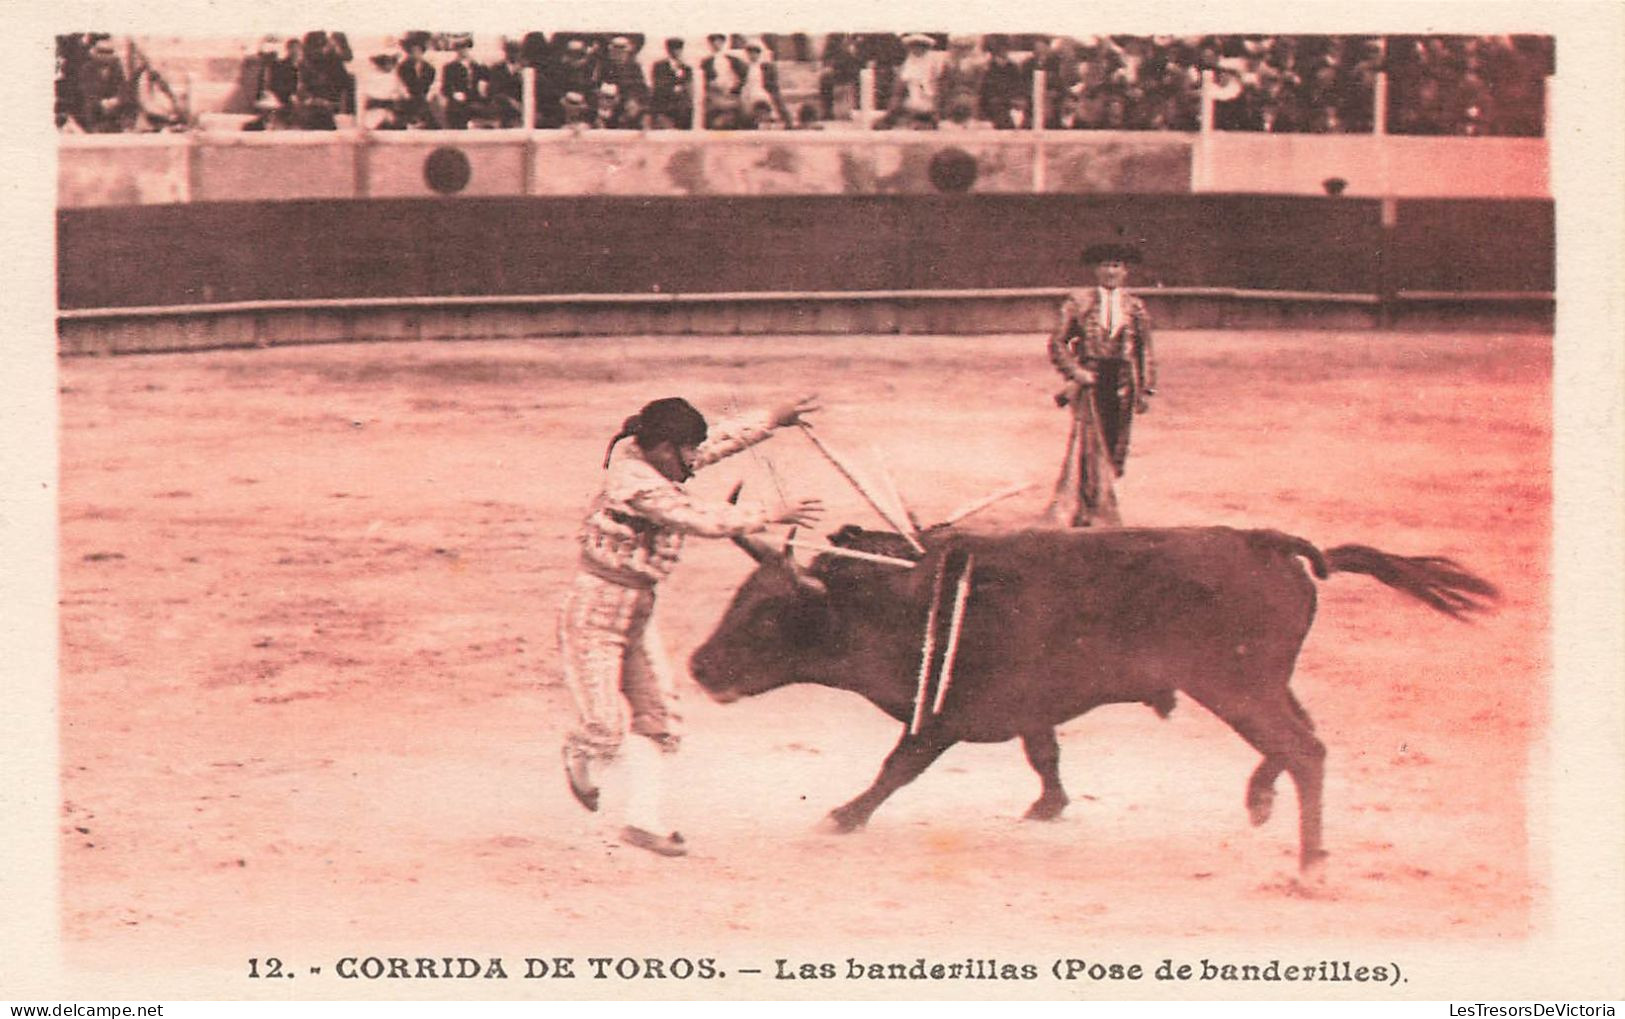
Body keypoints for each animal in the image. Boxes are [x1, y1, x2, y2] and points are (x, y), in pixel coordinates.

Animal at [685, 526, 1495, 871]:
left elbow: (896, 768)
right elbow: (1044, 754)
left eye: (766, 615)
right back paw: (1266, 807)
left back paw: (1306, 857)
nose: (697, 665)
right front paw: (1048, 806)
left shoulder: (939, 716)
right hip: (1260, 683)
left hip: (1236, 686)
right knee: (1301, 743)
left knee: (1300, 748)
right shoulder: (1029, 709)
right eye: (738, 599)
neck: (902, 602)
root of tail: (1269, 543)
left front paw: (840, 817)